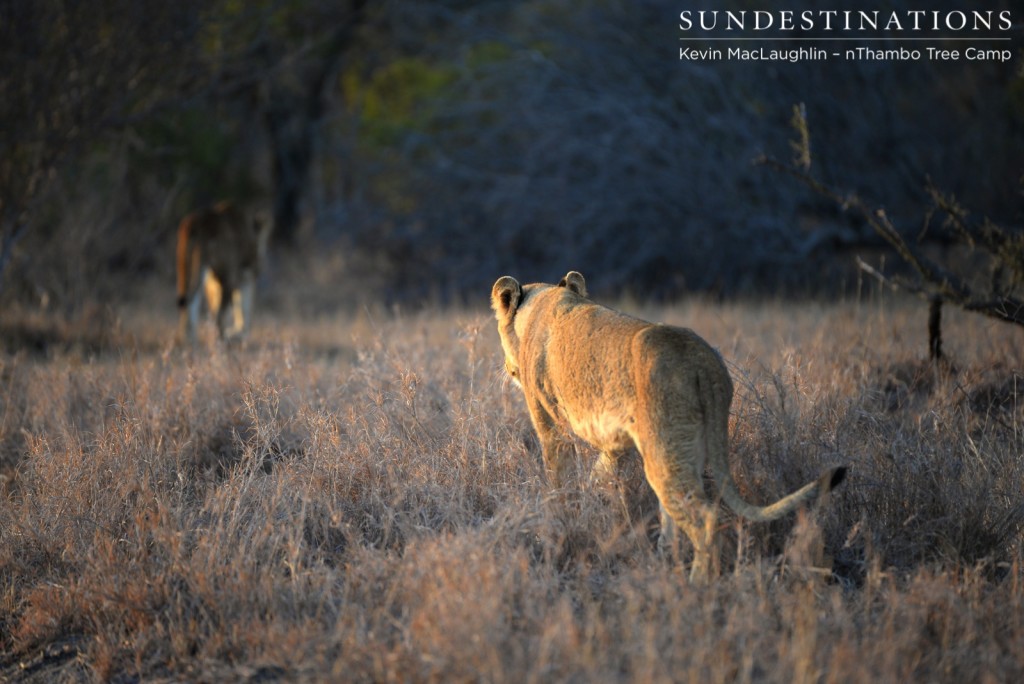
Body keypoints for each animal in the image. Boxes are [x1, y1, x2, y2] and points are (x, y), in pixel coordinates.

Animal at [176, 200, 272, 344]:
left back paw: (189, 344)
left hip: (184, 267)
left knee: (189, 307)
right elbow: (244, 309)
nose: (260, 265)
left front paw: (236, 333)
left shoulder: (212, 282)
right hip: (223, 275)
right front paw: (238, 334)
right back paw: (219, 342)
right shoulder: (242, 277)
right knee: (216, 315)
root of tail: (194, 224)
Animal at [491, 270, 843, 581]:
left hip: (665, 448)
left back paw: (698, 585)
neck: (541, 302)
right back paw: (664, 562)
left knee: (704, 518)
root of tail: (703, 361)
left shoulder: (549, 425)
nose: (507, 367)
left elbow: (560, 478)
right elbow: (599, 474)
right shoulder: (617, 441)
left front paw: (563, 515)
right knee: (674, 515)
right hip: (683, 447)